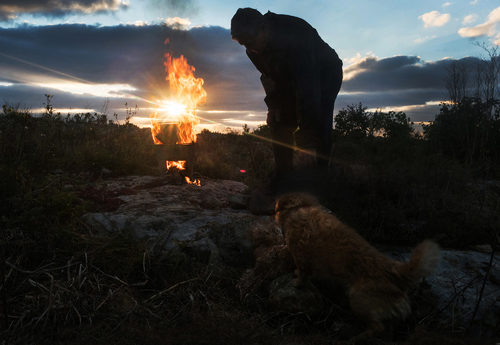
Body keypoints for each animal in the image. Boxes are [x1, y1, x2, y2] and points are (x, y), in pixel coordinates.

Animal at [276, 192, 440, 340]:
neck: (299, 210)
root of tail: (397, 273)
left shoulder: (300, 257)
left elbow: (302, 273)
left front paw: (297, 281)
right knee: (387, 332)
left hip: (358, 301)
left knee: (377, 327)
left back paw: (357, 338)